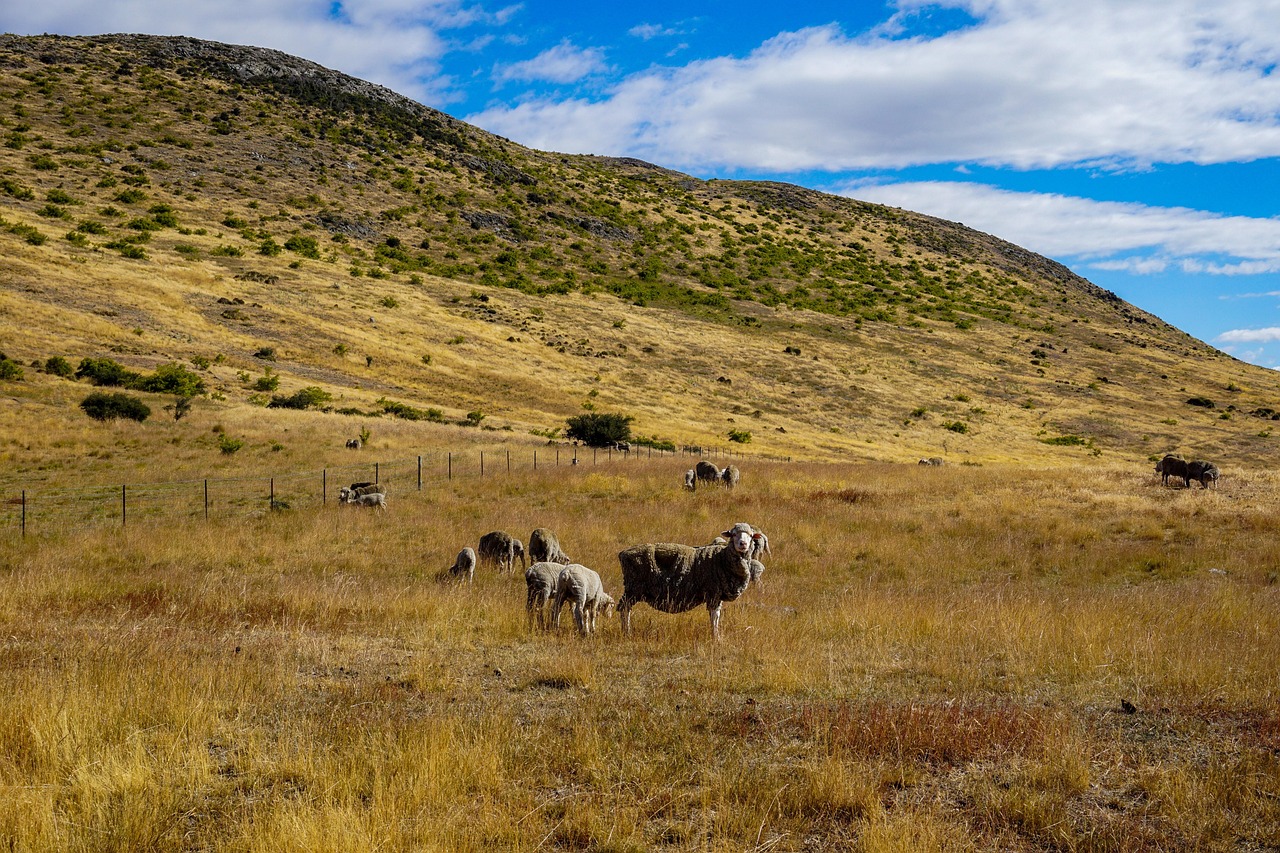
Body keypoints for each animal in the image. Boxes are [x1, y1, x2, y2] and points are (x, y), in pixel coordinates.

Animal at [616, 517, 762, 637]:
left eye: (750, 535)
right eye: (733, 534)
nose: (743, 544)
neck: (721, 558)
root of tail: (623, 553)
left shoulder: (717, 594)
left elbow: (716, 616)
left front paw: (716, 635)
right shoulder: (713, 592)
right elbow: (714, 616)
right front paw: (716, 637)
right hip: (634, 587)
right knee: (624, 609)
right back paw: (627, 633)